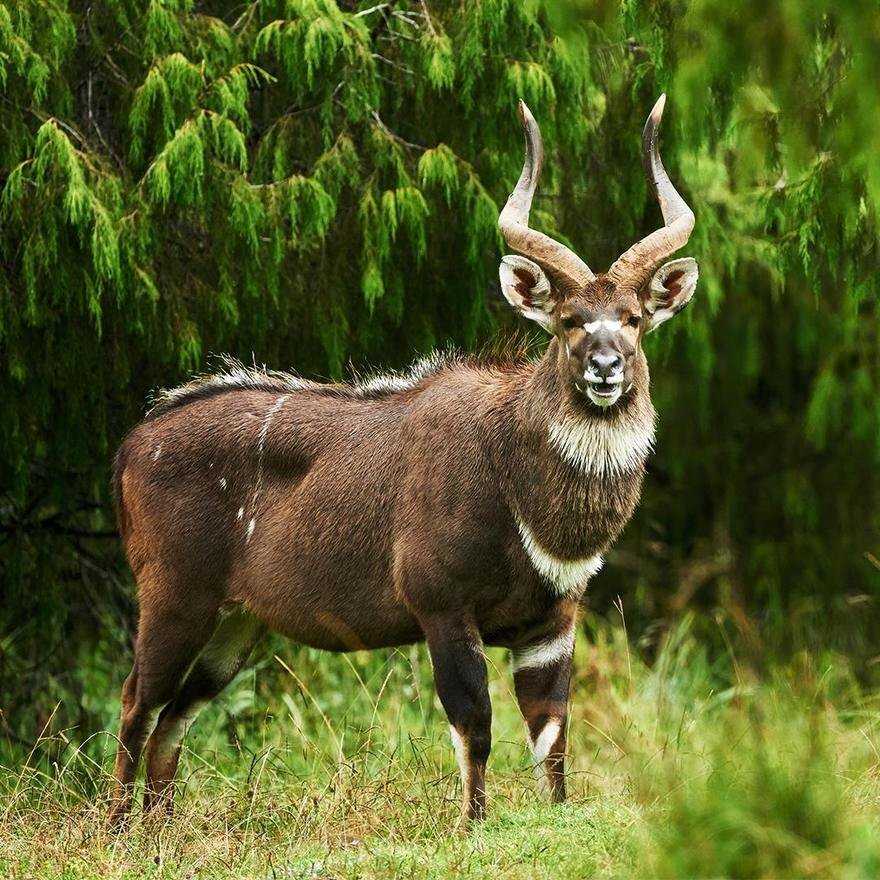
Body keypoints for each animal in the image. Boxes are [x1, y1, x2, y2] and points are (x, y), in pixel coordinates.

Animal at [109, 94, 698, 828]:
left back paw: (157, 833)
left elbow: (553, 742)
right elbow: (475, 725)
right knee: (136, 703)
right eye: (567, 321)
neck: (517, 480)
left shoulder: (551, 625)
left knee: (173, 719)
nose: (606, 368)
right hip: (174, 599)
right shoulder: (441, 606)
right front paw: (473, 827)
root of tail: (132, 445)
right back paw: (117, 833)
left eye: (635, 319)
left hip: (233, 625)